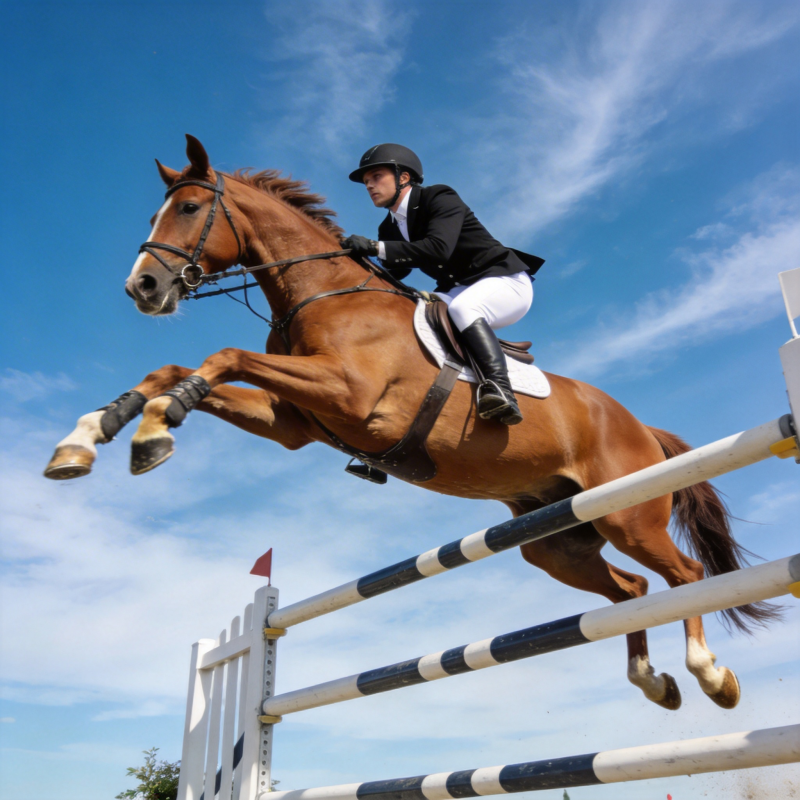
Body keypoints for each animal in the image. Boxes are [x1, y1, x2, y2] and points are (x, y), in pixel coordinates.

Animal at [44, 134, 776, 711]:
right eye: (157, 211)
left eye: (191, 209)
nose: (142, 288)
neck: (322, 294)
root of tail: (642, 427)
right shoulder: (294, 422)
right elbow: (175, 369)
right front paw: (94, 436)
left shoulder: (350, 395)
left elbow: (220, 357)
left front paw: (153, 431)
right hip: (558, 539)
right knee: (632, 589)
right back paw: (653, 681)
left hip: (629, 513)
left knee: (684, 576)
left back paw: (711, 677)